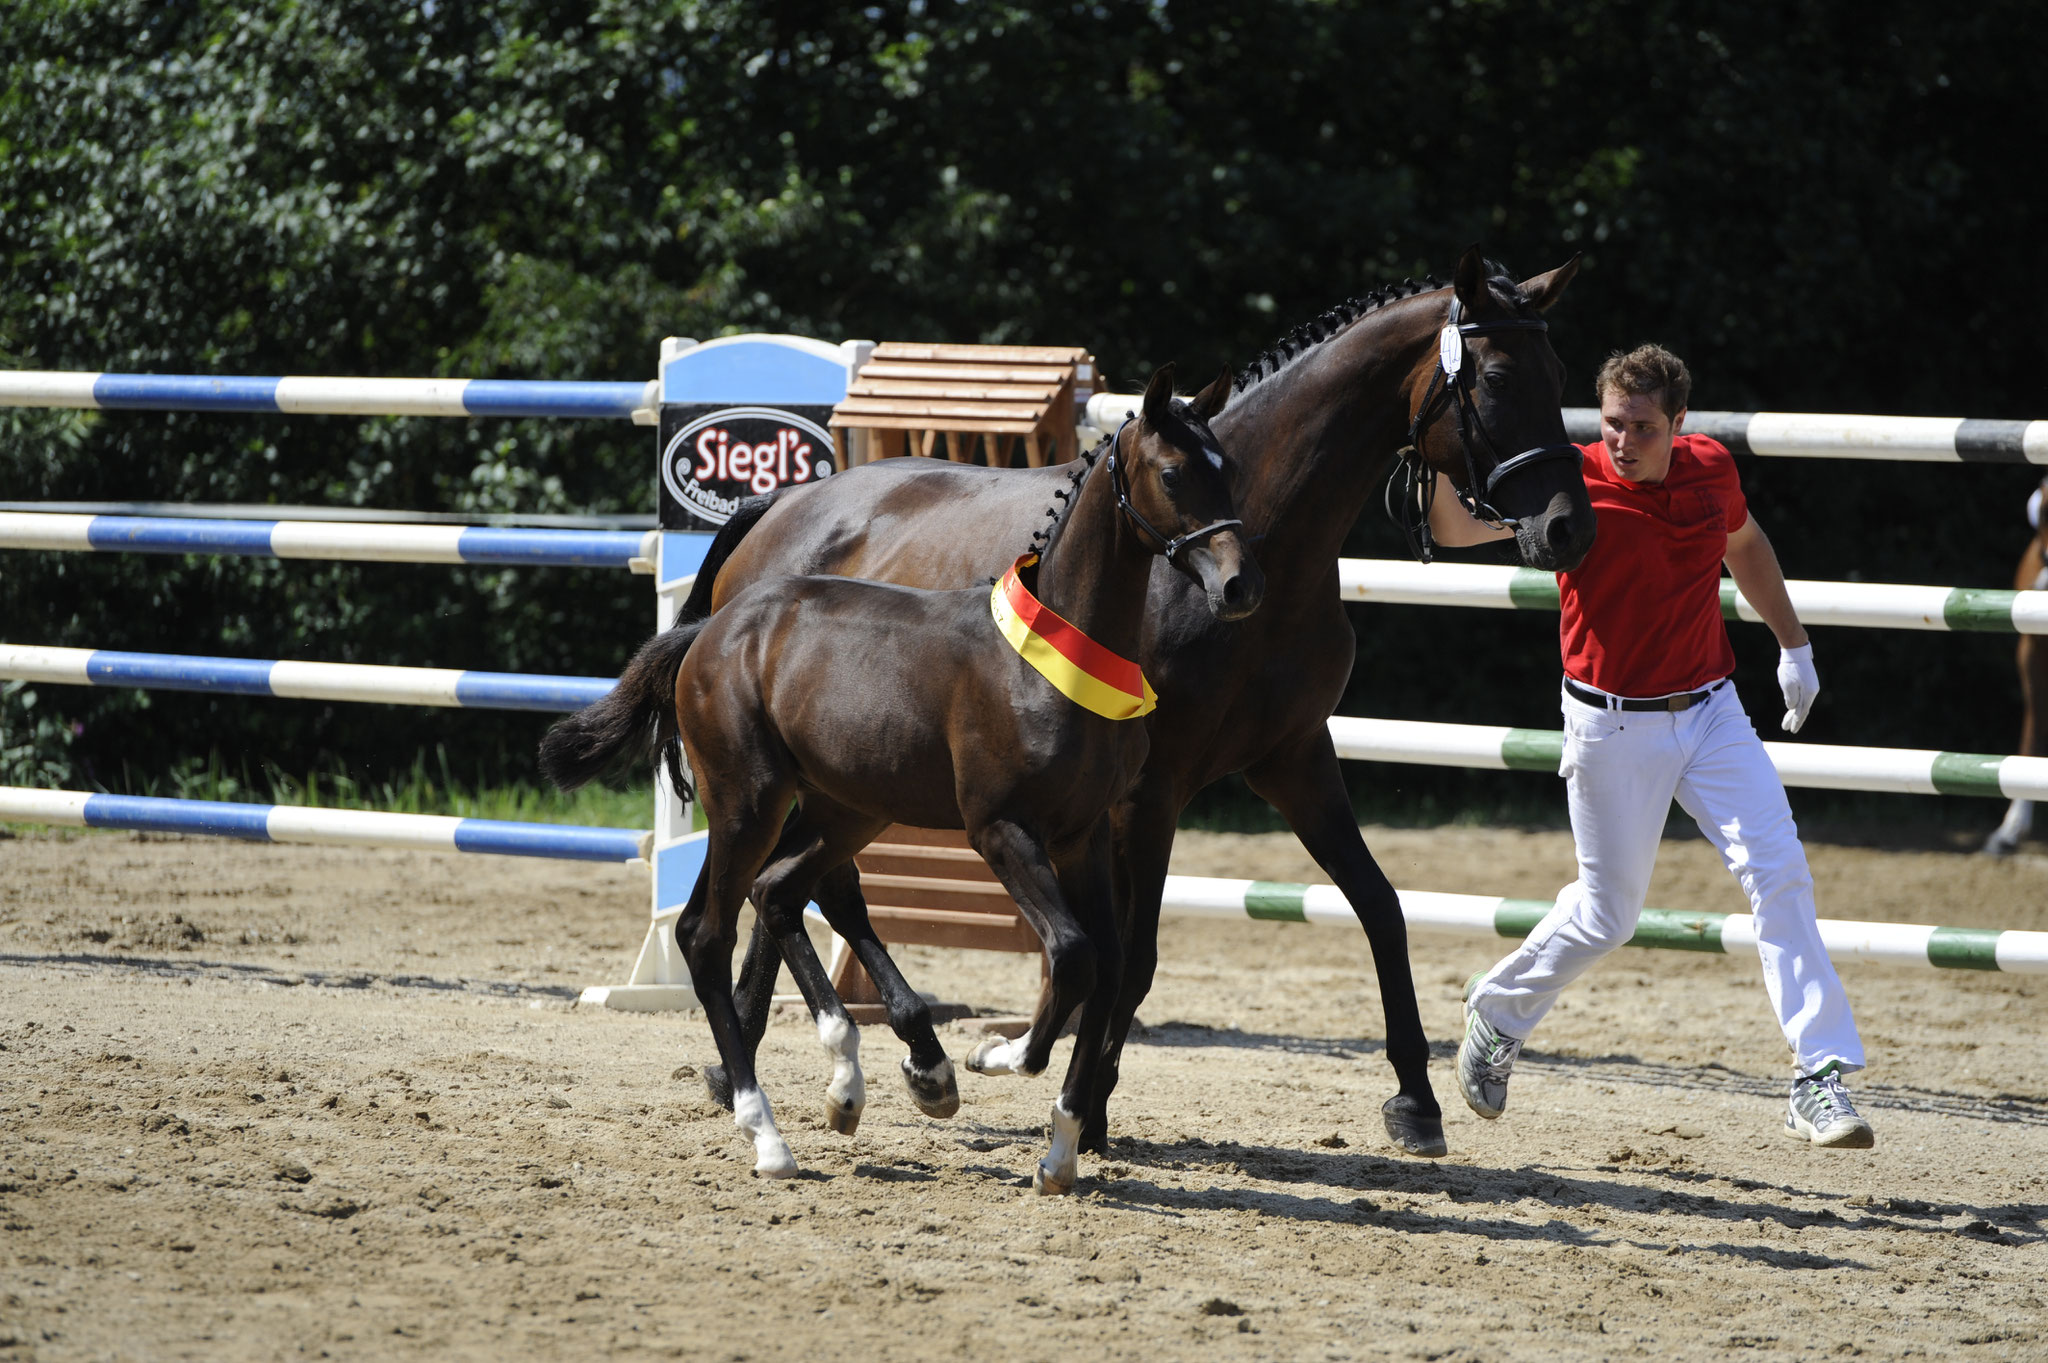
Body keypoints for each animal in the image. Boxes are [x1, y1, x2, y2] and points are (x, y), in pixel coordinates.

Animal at [536, 366, 1253, 1186]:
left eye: (1229, 468)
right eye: (1172, 473)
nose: (1239, 585)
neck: (1058, 654)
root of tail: (709, 631)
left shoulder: (1083, 836)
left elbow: (1104, 967)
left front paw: (1061, 1149)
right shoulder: (1001, 830)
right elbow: (1072, 956)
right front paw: (996, 1054)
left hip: (843, 808)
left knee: (780, 892)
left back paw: (859, 1080)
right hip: (749, 803)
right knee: (705, 934)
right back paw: (770, 1135)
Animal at [688, 246, 1581, 1154]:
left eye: (1558, 373)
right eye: (1497, 377)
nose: (1565, 526)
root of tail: (783, 506)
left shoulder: (1294, 758)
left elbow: (1378, 905)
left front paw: (1417, 1100)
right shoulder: (1148, 792)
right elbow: (1133, 954)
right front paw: (1088, 1103)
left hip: (840, 780)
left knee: (795, 886)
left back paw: (819, 1062)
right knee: (796, 886)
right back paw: (838, 1059)